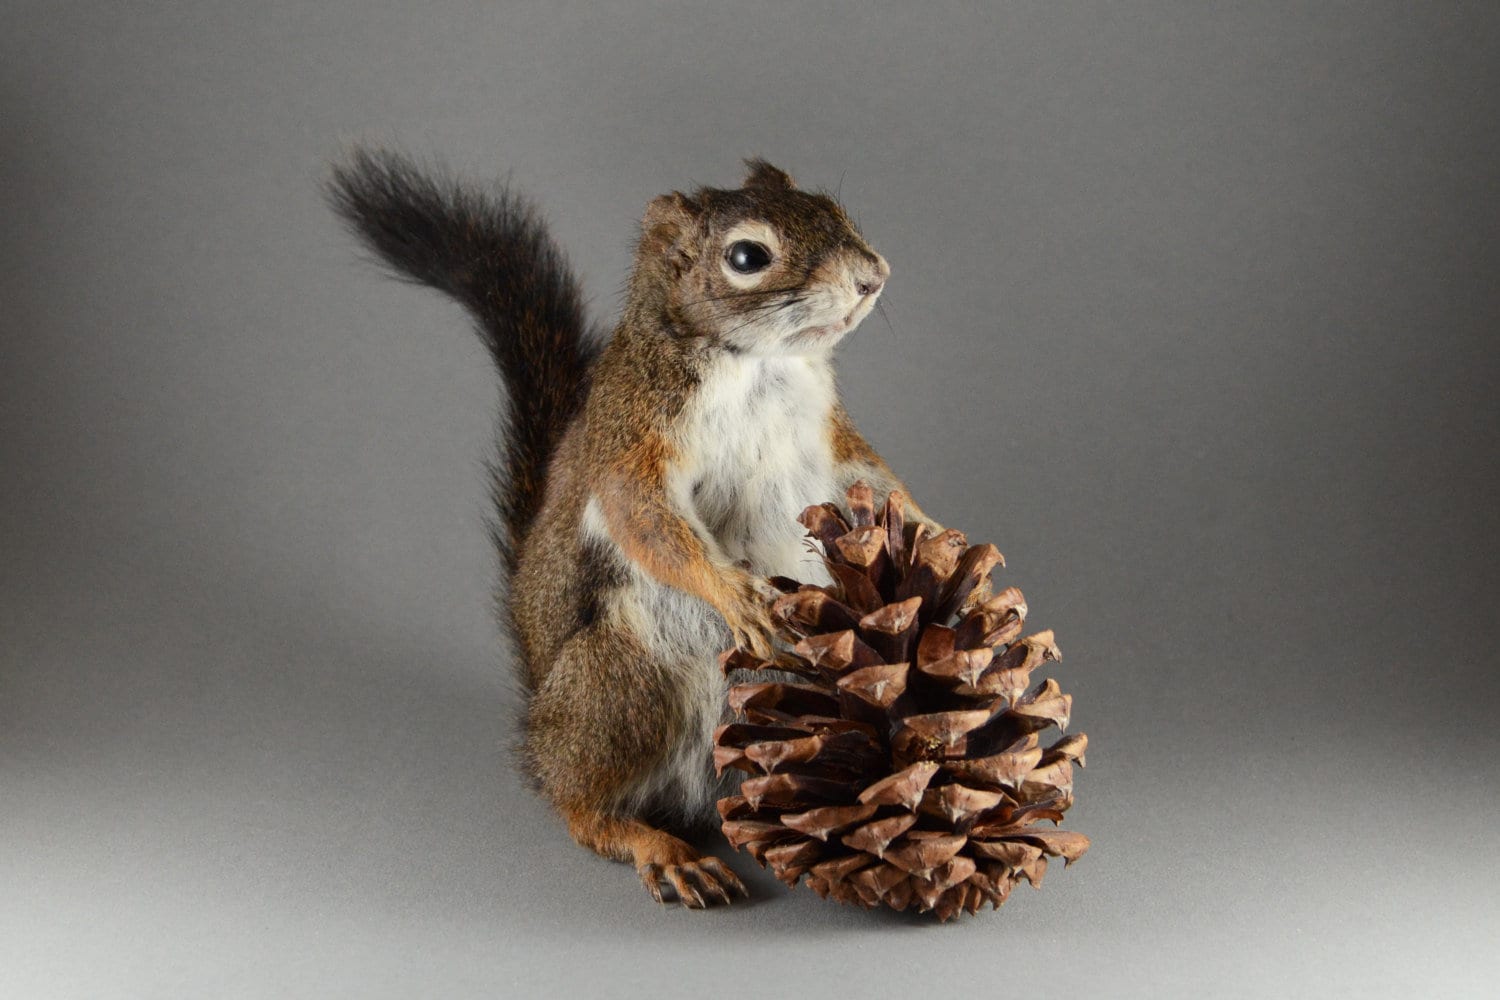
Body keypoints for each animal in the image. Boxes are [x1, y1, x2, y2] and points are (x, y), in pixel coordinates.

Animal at [327, 151, 941, 908]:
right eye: (747, 256)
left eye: (834, 209)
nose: (871, 276)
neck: (761, 365)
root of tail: (541, 727)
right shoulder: (635, 433)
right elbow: (644, 516)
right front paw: (737, 594)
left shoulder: (831, 434)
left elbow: (876, 481)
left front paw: (941, 538)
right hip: (620, 683)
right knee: (582, 805)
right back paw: (655, 844)